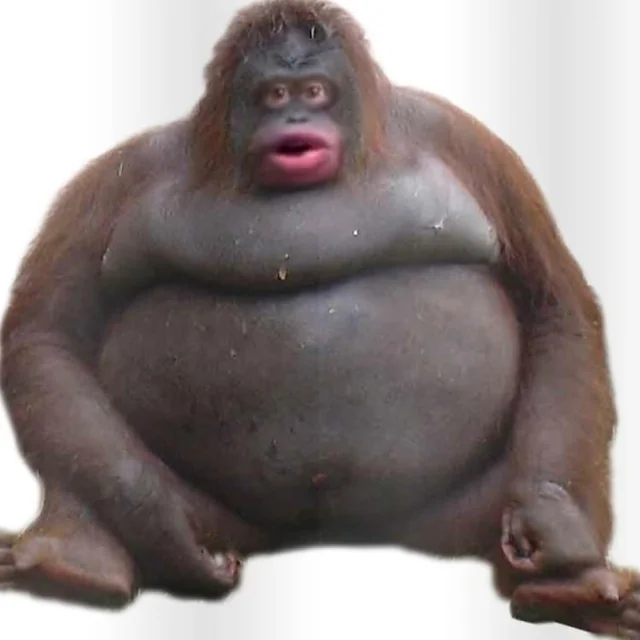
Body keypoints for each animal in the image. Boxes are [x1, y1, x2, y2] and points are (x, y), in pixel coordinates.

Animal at [1, 1, 637, 636]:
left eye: (314, 90)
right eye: (274, 95)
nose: (295, 118)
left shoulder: (468, 140)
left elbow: (554, 304)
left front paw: (548, 522)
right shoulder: (123, 172)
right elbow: (46, 333)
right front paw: (164, 530)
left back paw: (573, 584)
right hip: (229, 521)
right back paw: (75, 563)